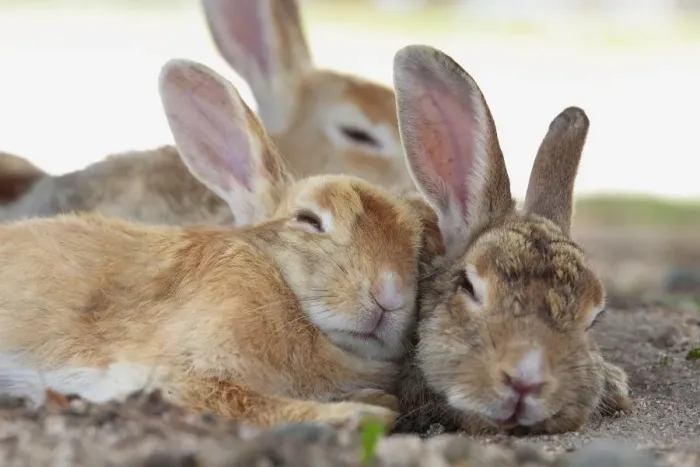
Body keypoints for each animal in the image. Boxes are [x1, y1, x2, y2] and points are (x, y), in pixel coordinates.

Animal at [0, 57, 434, 428]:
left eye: (419, 248)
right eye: (310, 220)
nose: (390, 292)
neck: (280, 284)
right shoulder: (183, 374)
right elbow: (249, 404)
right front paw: (359, 413)